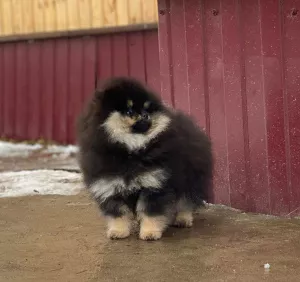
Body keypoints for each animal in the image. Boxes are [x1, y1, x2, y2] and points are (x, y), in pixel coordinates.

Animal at [77, 77, 213, 240]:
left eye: (146, 109)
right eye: (129, 111)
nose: (144, 115)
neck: (130, 151)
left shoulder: (154, 184)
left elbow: (150, 212)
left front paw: (150, 232)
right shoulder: (108, 187)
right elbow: (118, 213)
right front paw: (118, 231)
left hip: (189, 179)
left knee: (186, 201)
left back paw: (182, 219)